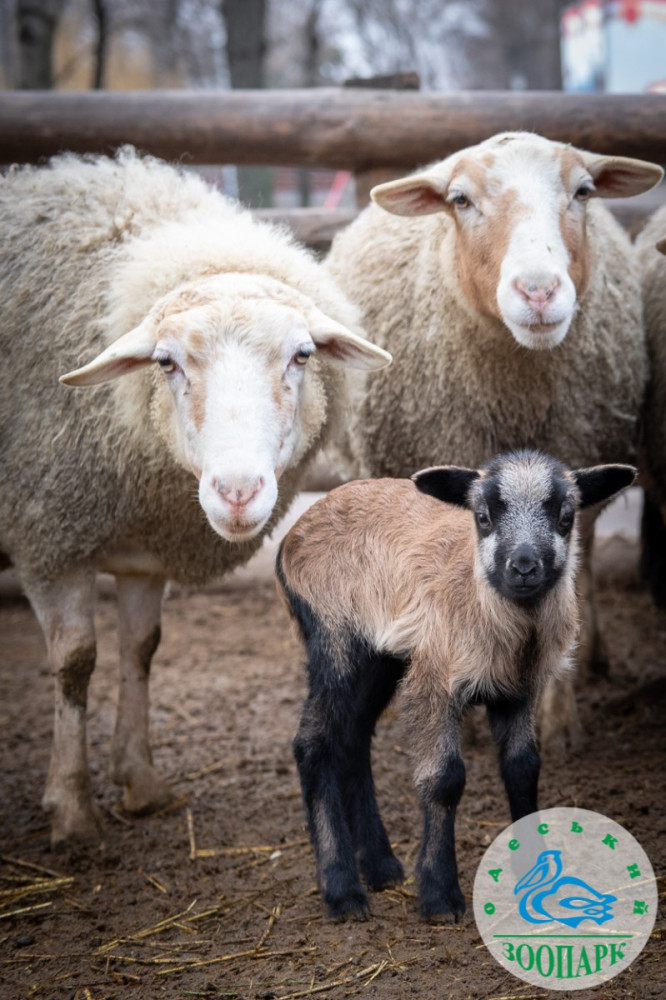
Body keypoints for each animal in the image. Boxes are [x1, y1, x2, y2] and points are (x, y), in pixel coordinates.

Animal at [0, 147, 391, 847]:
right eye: (165, 363)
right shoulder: (49, 537)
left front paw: (141, 782)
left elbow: (141, 648)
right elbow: (75, 661)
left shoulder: (144, 552)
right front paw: (71, 808)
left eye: (302, 355)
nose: (237, 491)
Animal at [275, 450, 636, 921]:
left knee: (352, 736)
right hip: (334, 637)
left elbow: (523, 769)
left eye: (566, 516)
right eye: (482, 518)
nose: (523, 567)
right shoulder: (436, 680)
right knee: (312, 743)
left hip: (380, 655)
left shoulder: (518, 691)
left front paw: (532, 871)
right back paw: (342, 890)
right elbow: (445, 779)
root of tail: (293, 533)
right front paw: (440, 895)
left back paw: (381, 866)